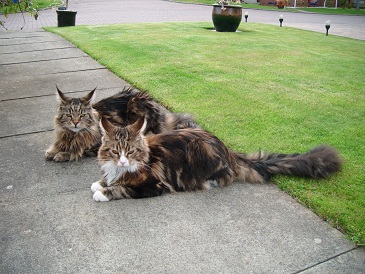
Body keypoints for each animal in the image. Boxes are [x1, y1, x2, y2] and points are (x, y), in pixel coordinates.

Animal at [91, 115, 342, 201]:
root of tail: (228, 150)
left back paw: (208, 182)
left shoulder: (155, 185)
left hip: (200, 150)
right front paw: (100, 183)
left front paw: (104, 192)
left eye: (131, 151)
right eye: (115, 152)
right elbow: (109, 180)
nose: (123, 161)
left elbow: (123, 189)